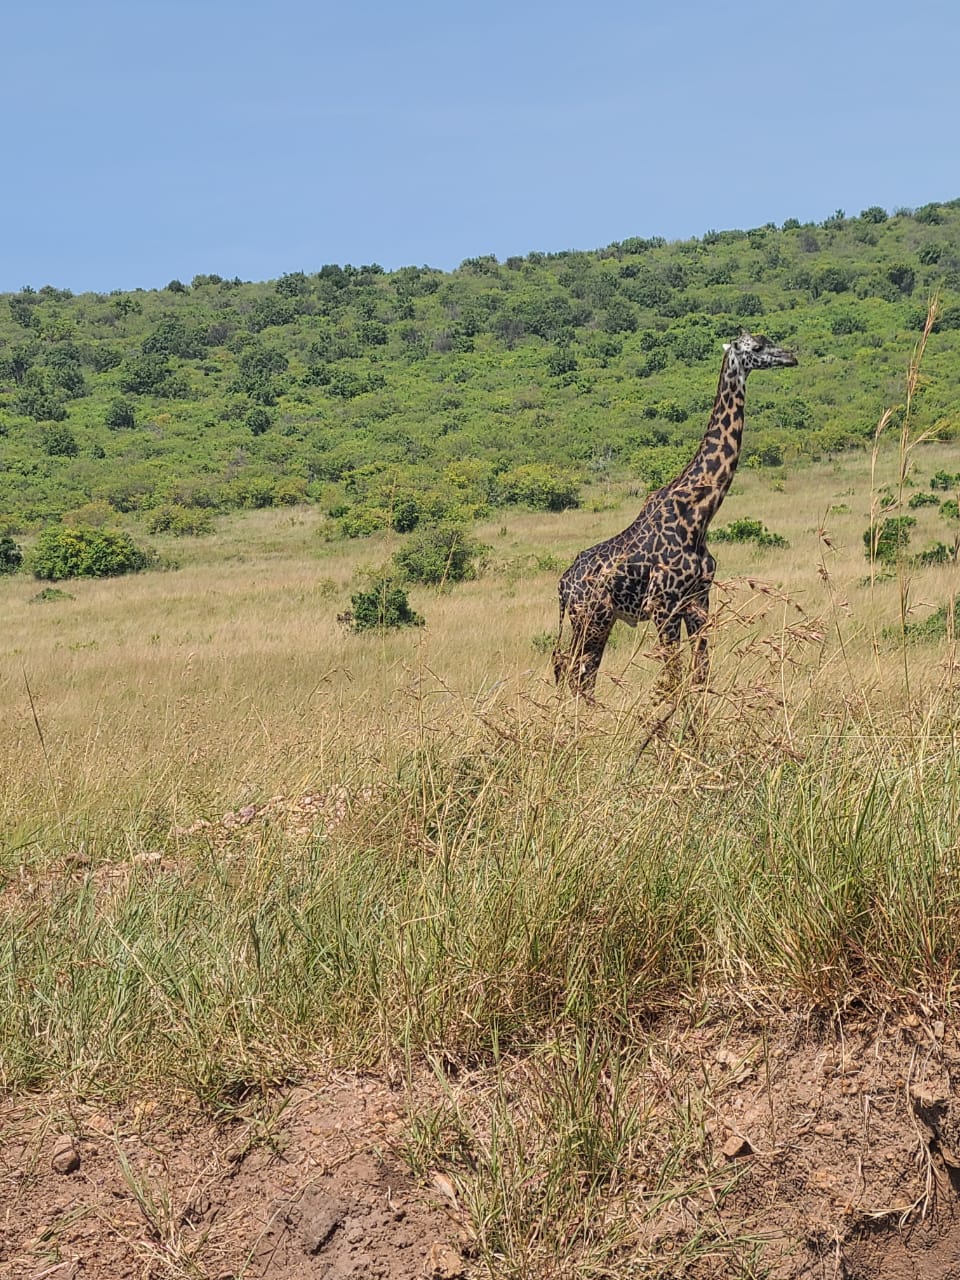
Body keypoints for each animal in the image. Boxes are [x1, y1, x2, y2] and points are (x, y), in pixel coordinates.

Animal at [552, 330, 798, 701]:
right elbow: (673, 678)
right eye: (757, 347)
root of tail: (563, 585)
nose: (791, 356)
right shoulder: (663, 603)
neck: (699, 514)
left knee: (578, 672)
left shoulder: (698, 598)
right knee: (574, 671)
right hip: (591, 617)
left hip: (597, 619)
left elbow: (700, 674)